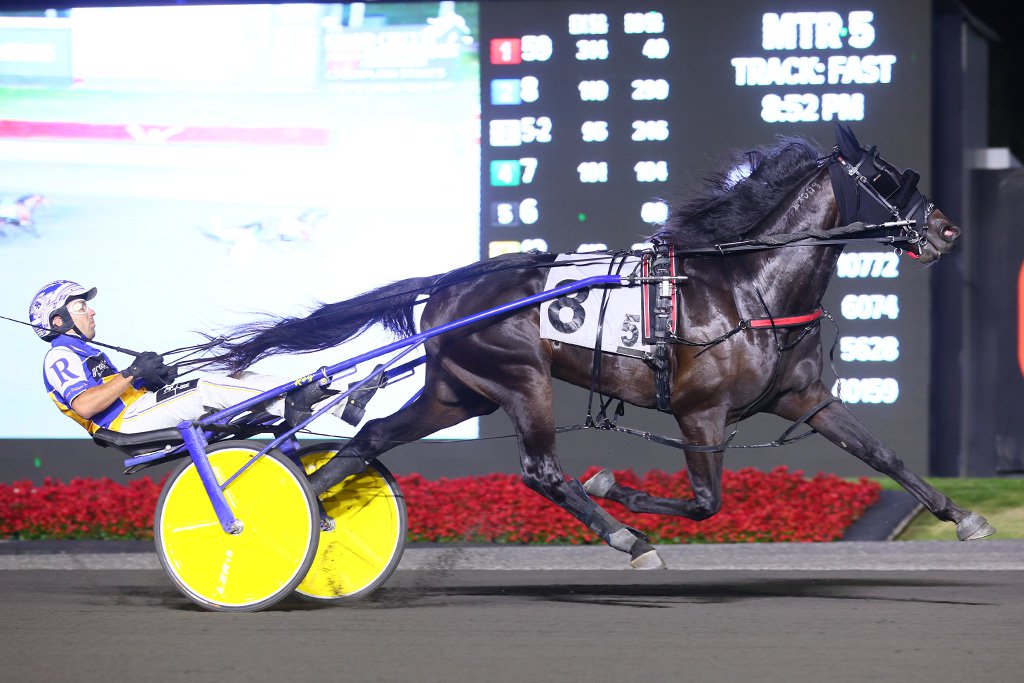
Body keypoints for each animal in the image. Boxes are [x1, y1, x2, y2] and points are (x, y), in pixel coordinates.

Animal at [199, 125, 991, 569]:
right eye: (887, 180)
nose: (947, 229)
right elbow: (704, 502)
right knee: (542, 470)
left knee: (368, 439)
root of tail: (453, 282)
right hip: (522, 380)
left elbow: (883, 455)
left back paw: (294, 515)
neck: (746, 286)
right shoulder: (700, 413)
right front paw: (618, 493)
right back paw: (626, 538)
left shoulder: (804, 397)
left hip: (458, 391)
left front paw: (965, 518)